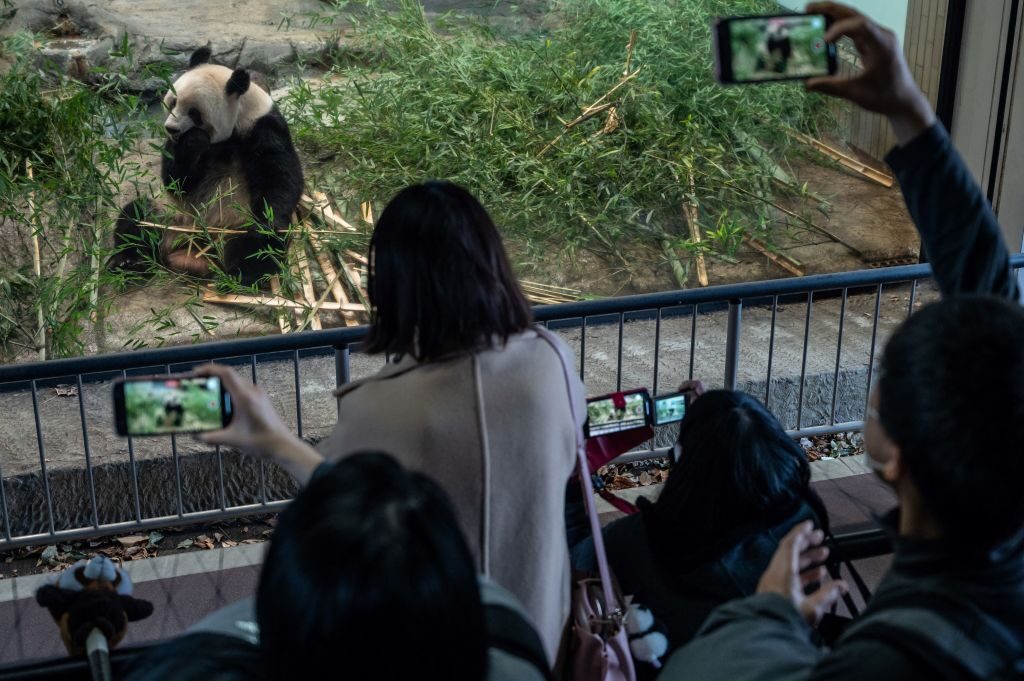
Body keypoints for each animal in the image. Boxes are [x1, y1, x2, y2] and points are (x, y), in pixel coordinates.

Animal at [113, 45, 303, 284]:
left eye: (194, 113)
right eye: (173, 102)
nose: (171, 128)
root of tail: (195, 251)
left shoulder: (263, 127)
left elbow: (279, 177)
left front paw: (270, 218)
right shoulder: (176, 148)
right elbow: (177, 181)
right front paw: (192, 143)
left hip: (235, 223)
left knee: (259, 245)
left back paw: (243, 272)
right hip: (170, 216)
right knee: (138, 217)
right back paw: (128, 262)